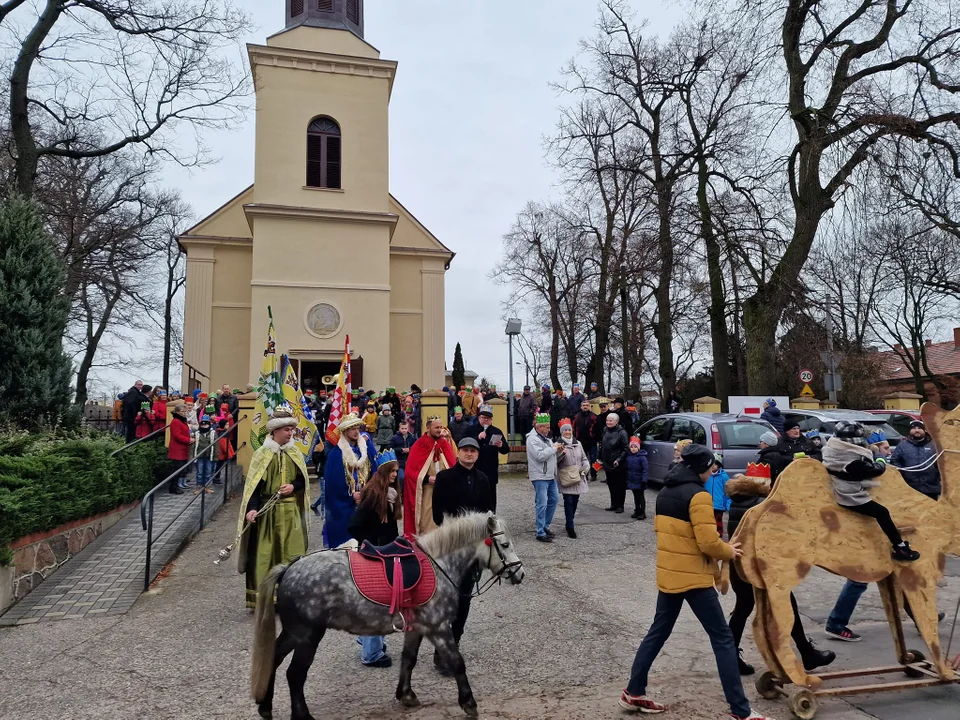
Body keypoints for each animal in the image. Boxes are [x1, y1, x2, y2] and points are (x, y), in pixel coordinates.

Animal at [244, 512, 520, 720]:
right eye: (505, 545)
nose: (520, 573)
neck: (438, 564)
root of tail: (289, 568)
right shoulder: (439, 628)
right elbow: (457, 662)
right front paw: (469, 702)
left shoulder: (417, 629)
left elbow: (408, 660)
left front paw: (406, 695)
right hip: (307, 636)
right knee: (295, 674)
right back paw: (302, 715)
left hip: (294, 633)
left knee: (273, 659)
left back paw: (265, 706)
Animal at [728, 402, 960, 716]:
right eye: (953, 420)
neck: (940, 517)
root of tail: (750, 518)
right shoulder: (918, 570)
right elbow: (928, 623)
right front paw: (946, 672)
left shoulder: (888, 575)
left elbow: (896, 621)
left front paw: (911, 661)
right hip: (783, 573)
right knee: (777, 628)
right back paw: (805, 687)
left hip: (760, 581)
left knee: (759, 626)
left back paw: (776, 680)